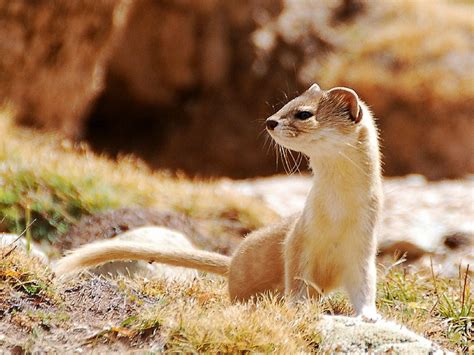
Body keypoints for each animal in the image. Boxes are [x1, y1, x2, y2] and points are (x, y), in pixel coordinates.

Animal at [54, 85, 382, 322]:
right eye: (286, 103)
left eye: (303, 113)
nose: (270, 121)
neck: (338, 213)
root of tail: (233, 260)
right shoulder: (299, 238)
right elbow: (296, 278)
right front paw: (298, 307)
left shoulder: (363, 247)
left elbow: (364, 287)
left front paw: (369, 316)